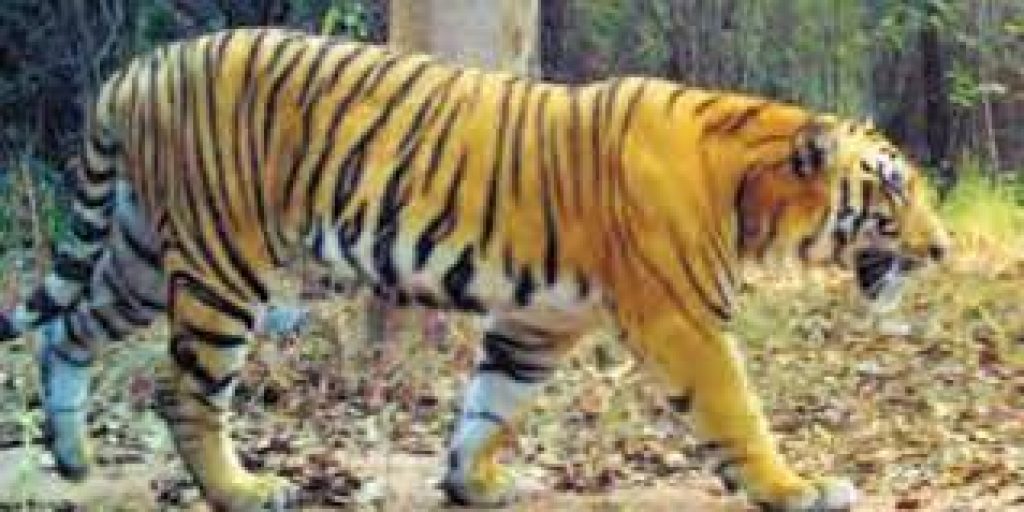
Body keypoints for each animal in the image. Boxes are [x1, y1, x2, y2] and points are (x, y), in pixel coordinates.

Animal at [0, 28, 950, 511]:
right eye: (893, 189)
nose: (941, 250)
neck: (748, 190)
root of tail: (140, 66)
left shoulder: (539, 320)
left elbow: (491, 402)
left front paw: (471, 483)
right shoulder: (682, 320)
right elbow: (738, 412)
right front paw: (799, 488)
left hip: (139, 251)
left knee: (65, 330)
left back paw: (73, 458)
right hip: (224, 261)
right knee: (183, 390)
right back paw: (242, 489)